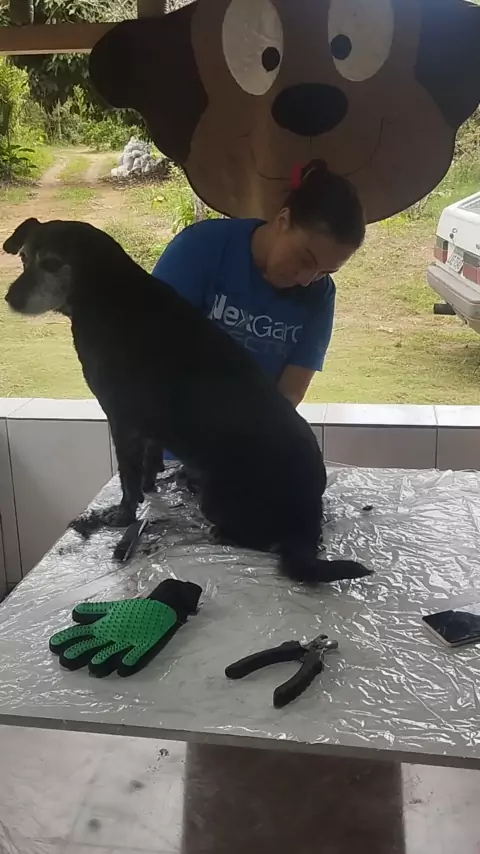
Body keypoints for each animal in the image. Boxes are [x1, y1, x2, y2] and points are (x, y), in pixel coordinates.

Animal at [4, 217, 371, 585]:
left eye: (52, 263)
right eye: (23, 258)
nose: (10, 298)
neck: (107, 293)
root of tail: (307, 520)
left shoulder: (121, 419)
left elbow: (127, 477)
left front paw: (122, 514)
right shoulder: (147, 427)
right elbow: (148, 463)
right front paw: (151, 486)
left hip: (218, 497)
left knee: (265, 542)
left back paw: (222, 533)